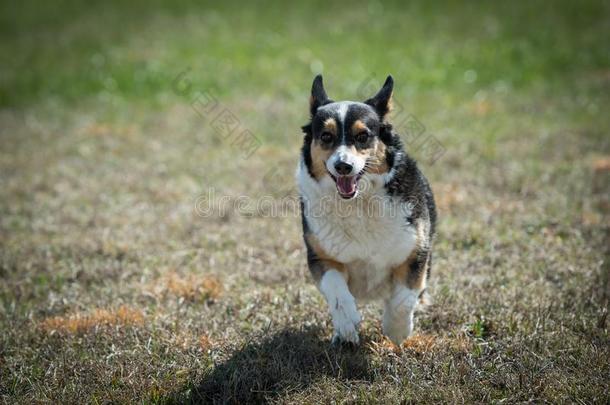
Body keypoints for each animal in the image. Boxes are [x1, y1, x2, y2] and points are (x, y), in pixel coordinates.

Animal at [296, 75, 434, 344]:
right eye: (326, 136)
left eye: (362, 136)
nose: (343, 166)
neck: (358, 202)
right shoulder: (320, 256)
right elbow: (336, 290)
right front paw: (346, 325)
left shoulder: (415, 251)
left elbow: (403, 299)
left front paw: (397, 331)